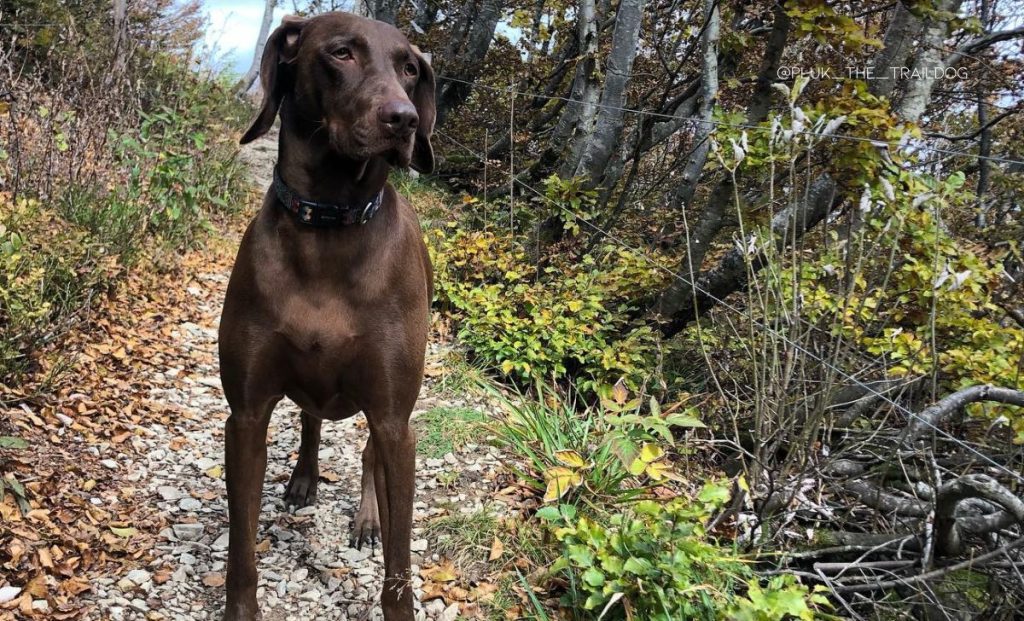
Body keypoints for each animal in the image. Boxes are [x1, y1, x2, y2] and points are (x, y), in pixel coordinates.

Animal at [219, 10, 432, 621]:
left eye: (410, 68)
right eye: (342, 53)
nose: (405, 120)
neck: (331, 224)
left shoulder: (394, 421)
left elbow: (400, 564)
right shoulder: (246, 416)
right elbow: (241, 546)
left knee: (366, 457)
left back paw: (366, 517)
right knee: (312, 418)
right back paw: (304, 477)